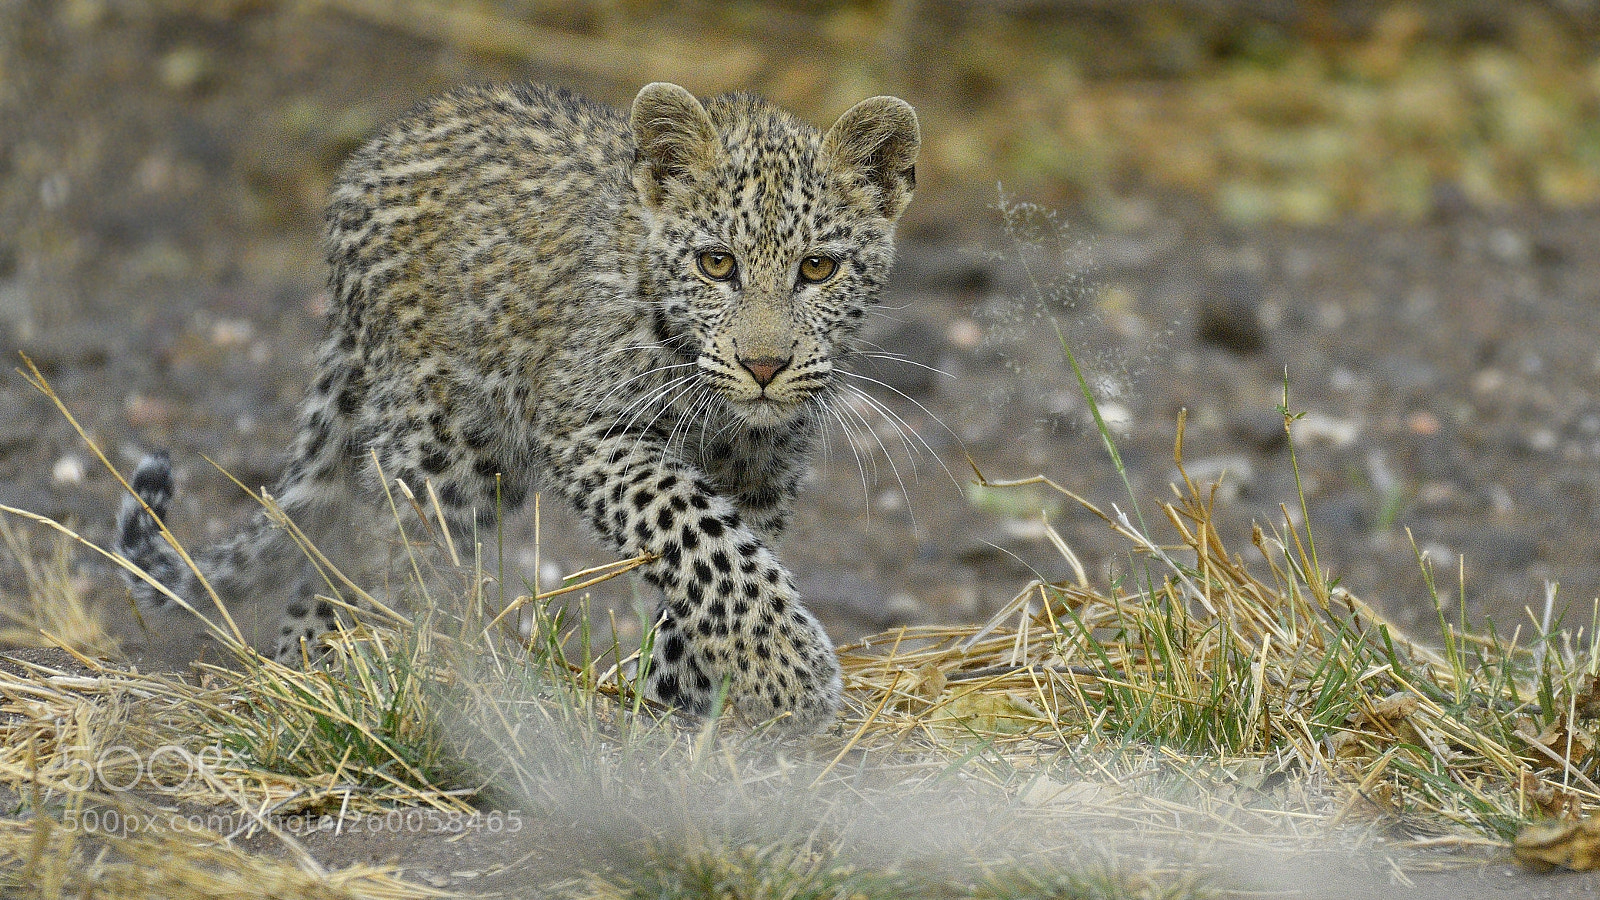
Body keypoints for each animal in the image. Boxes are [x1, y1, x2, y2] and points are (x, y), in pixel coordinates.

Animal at [113, 81, 920, 732]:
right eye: (716, 263)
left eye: (818, 268)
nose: (764, 367)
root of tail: (369, 160)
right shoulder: (588, 432)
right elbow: (699, 538)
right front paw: (788, 673)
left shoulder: (762, 471)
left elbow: (722, 565)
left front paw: (681, 689)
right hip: (443, 440)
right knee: (379, 545)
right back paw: (365, 674)